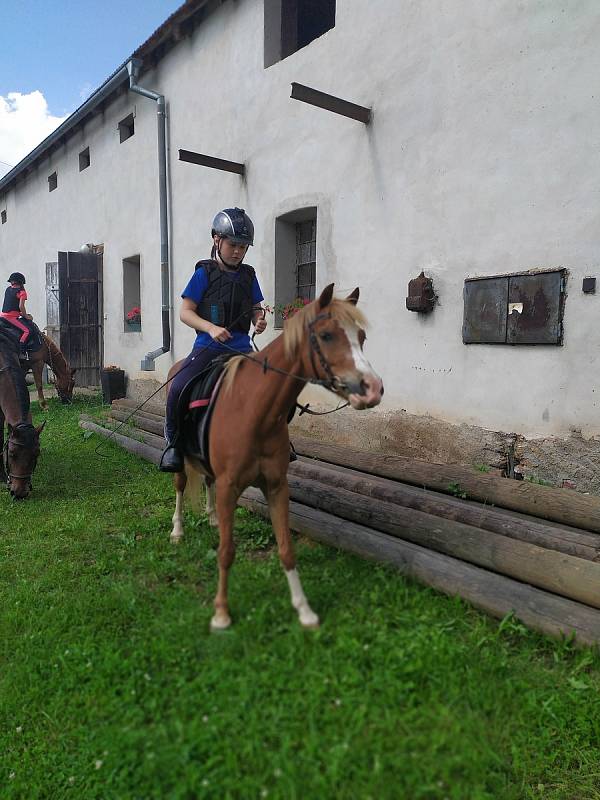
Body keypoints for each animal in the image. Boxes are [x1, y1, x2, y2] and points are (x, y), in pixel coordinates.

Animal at [169, 286, 384, 632]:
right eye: (326, 335)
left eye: (361, 336)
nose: (373, 389)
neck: (255, 410)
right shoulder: (230, 487)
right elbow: (226, 551)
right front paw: (221, 613)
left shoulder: (276, 486)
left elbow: (286, 549)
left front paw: (304, 610)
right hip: (179, 457)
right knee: (179, 485)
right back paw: (177, 531)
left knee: (207, 481)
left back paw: (212, 516)